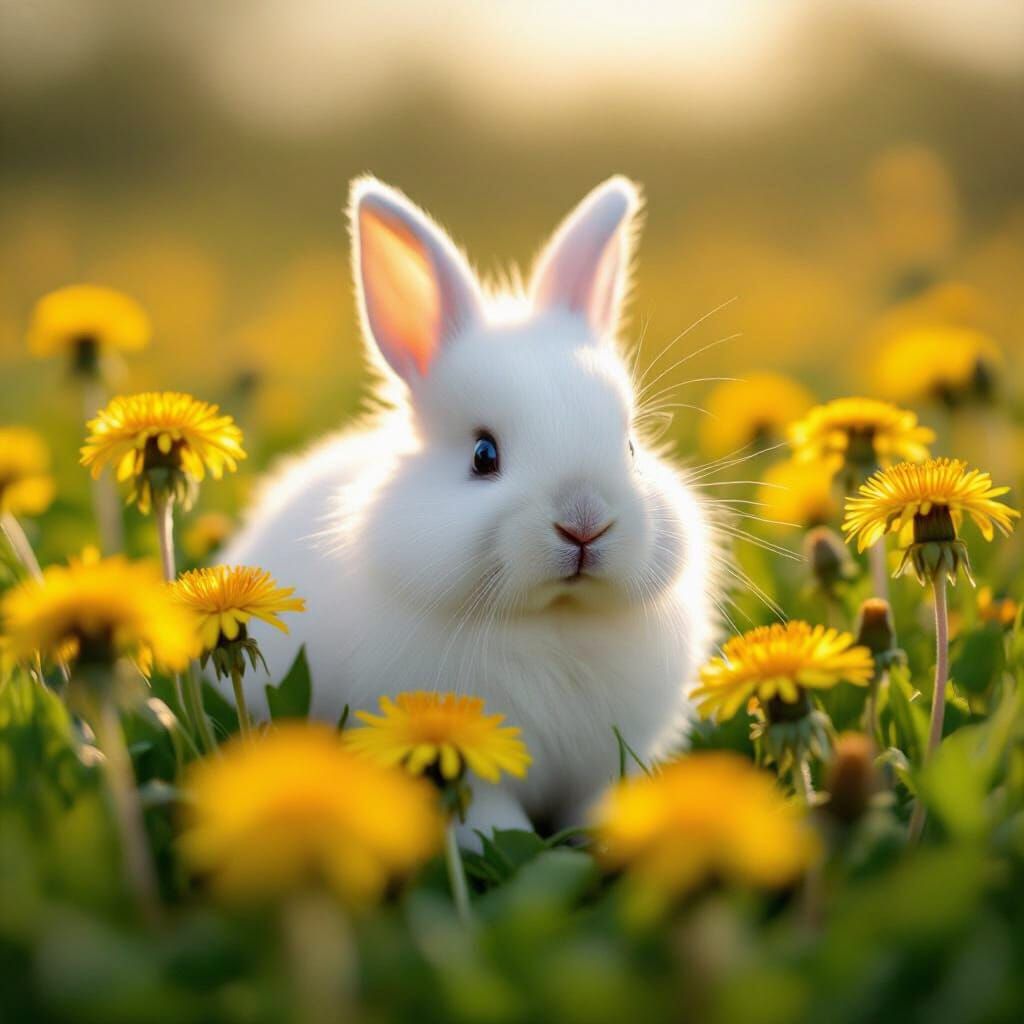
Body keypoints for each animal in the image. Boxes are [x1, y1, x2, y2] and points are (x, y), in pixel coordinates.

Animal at [221, 175, 719, 842]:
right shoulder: (471, 765)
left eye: (633, 445)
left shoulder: (600, 765)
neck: (552, 620)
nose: (583, 522)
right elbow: (490, 816)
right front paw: (501, 841)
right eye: (484, 455)